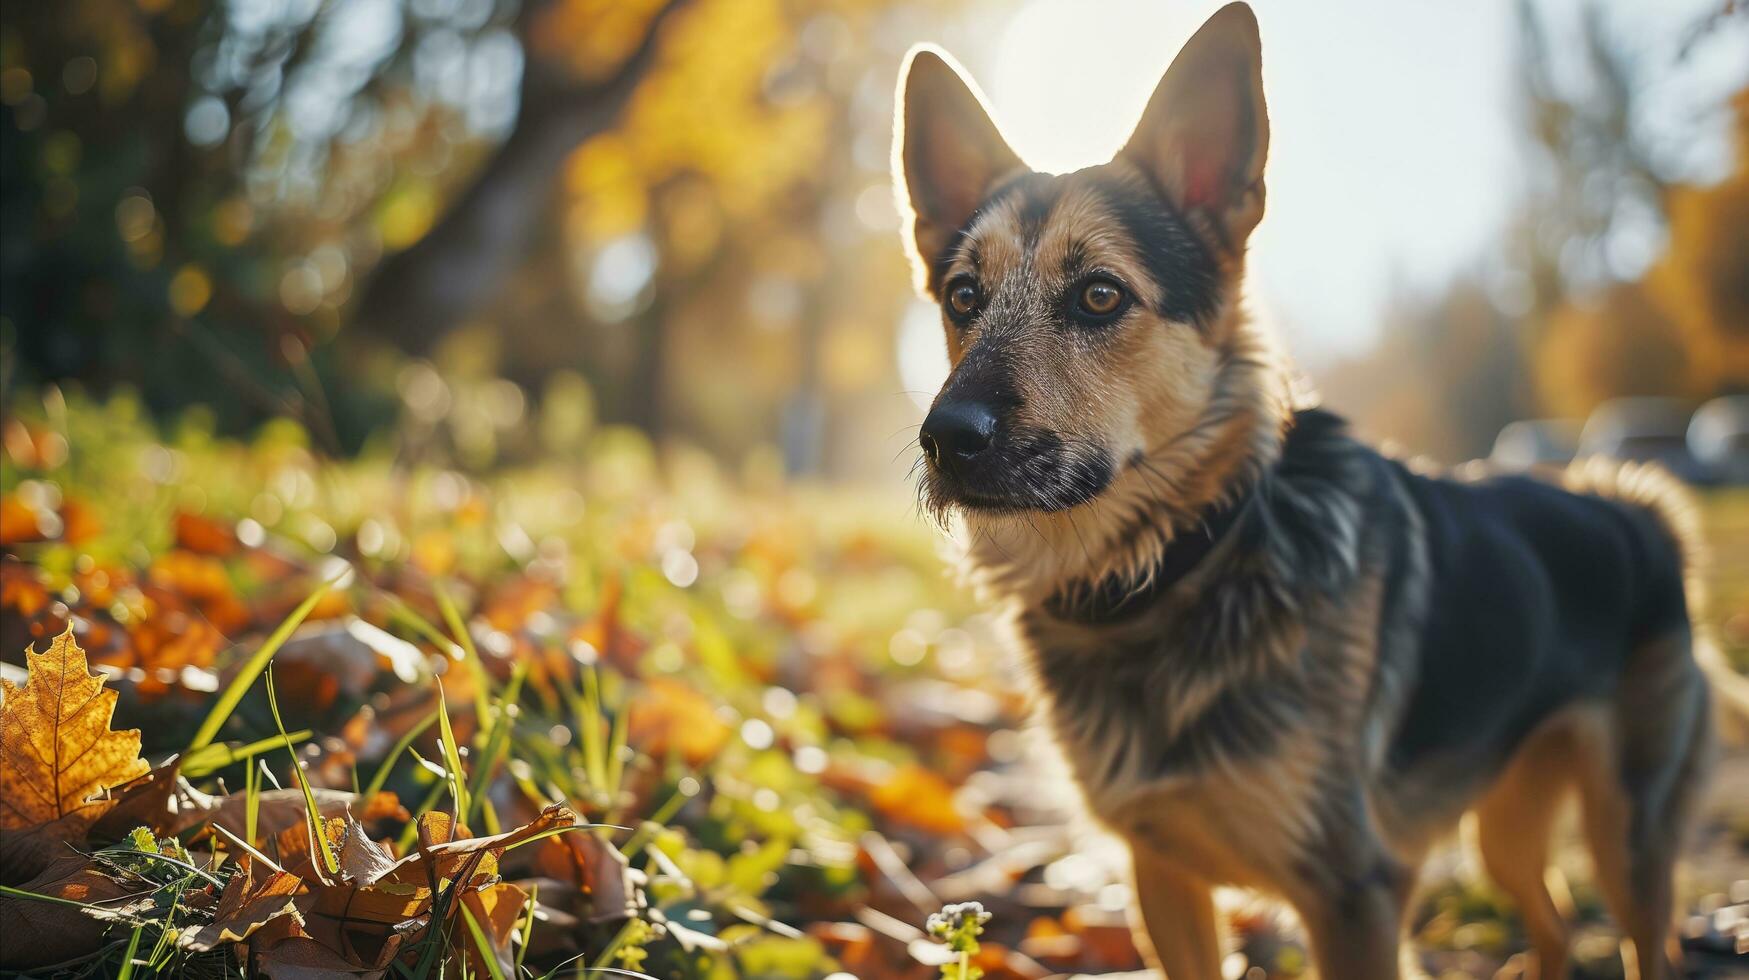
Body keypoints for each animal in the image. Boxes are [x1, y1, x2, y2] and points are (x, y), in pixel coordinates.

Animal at [895, 3, 1742, 973]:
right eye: (963, 297)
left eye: (1100, 296)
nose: (947, 437)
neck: (1197, 553)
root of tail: (1635, 510)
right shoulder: (1163, 877)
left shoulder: (1353, 893)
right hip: (1504, 823)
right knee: (1552, 921)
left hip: (1628, 833)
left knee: (1642, 934)